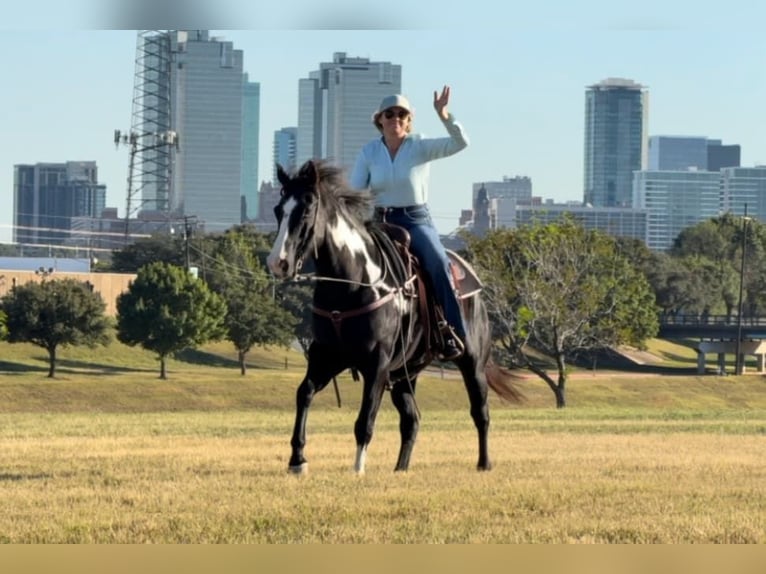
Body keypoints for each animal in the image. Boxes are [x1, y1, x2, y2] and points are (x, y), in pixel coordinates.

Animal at [268, 160, 524, 474]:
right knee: (411, 420)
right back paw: (400, 469)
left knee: (480, 412)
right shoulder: (325, 356)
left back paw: (484, 464)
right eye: (278, 210)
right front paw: (297, 459)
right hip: (405, 372)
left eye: (305, 210)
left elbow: (365, 418)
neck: (354, 282)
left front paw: (357, 468)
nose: (278, 263)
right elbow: (304, 392)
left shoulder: (376, 364)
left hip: (472, 361)